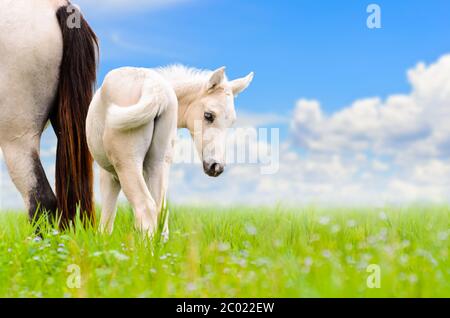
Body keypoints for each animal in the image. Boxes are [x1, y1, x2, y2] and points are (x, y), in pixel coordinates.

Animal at [87, 66, 253, 237]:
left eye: (231, 122)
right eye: (209, 115)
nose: (216, 167)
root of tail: (155, 88)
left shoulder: (110, 175)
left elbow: (107, 218)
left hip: (127, 163)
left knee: (146, 207)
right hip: (157, 163)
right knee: (160, 210)